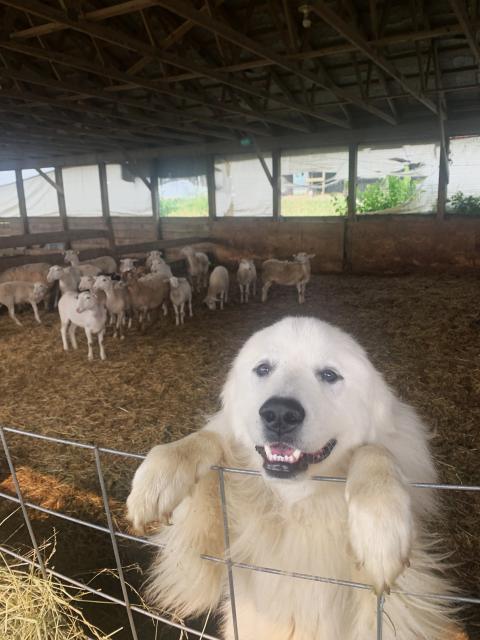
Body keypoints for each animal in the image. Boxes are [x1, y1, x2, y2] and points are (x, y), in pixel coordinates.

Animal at [127, 316, 462, 640]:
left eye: (329, 375)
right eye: (263, 368)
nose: (279, 414)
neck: (295, 502)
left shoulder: (400, 605)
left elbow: (373, 449)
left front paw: (379, 524)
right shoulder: (199, 567)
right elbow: (210, 438)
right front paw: (159, 475)